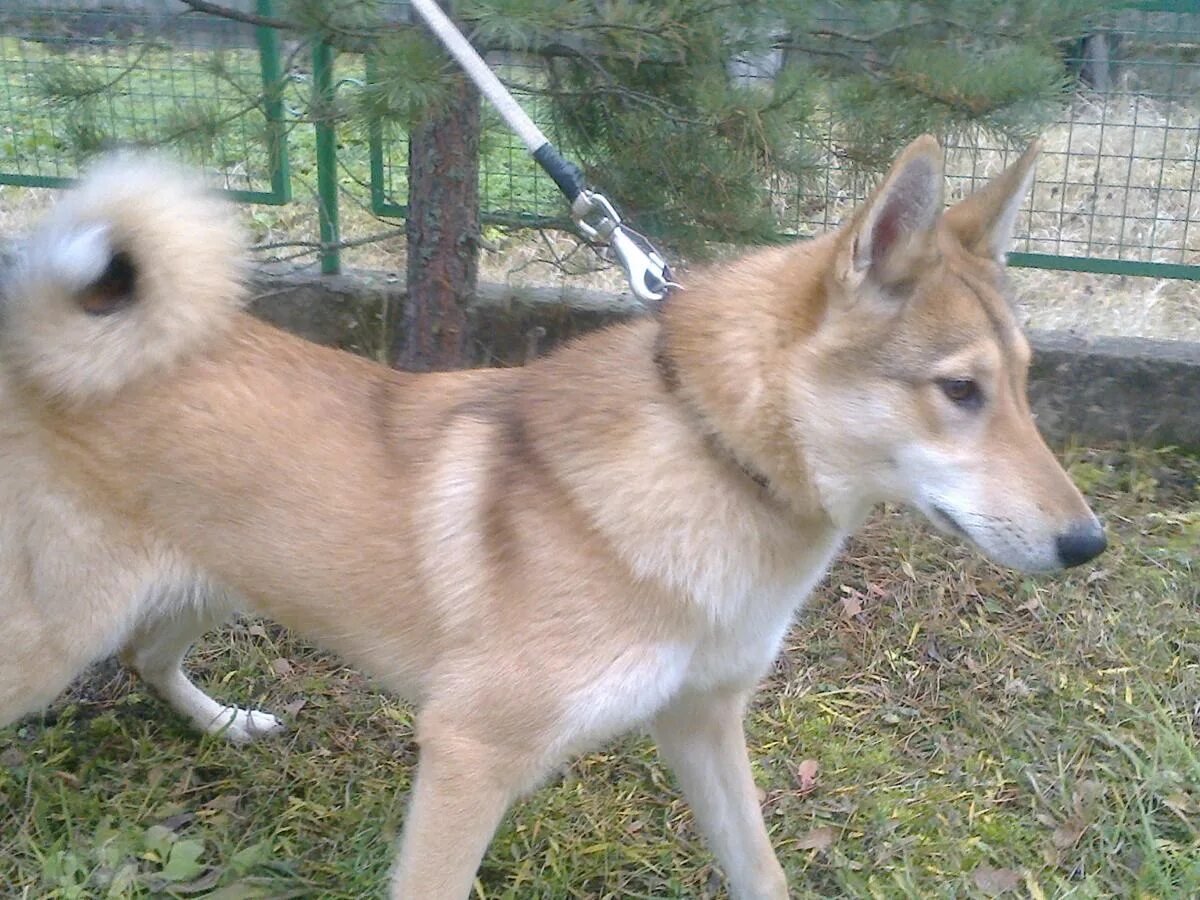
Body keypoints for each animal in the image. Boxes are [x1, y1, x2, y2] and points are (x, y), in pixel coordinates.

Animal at [2, 137, 1104, 897]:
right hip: (54, 638)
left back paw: (227, 724)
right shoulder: (468, 753)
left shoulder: (703, 722)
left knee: (148, 656)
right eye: (959, 390)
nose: (1089, 543)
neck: (715, 459)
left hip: (217, 579)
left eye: (1025, 383)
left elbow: (761, 868)